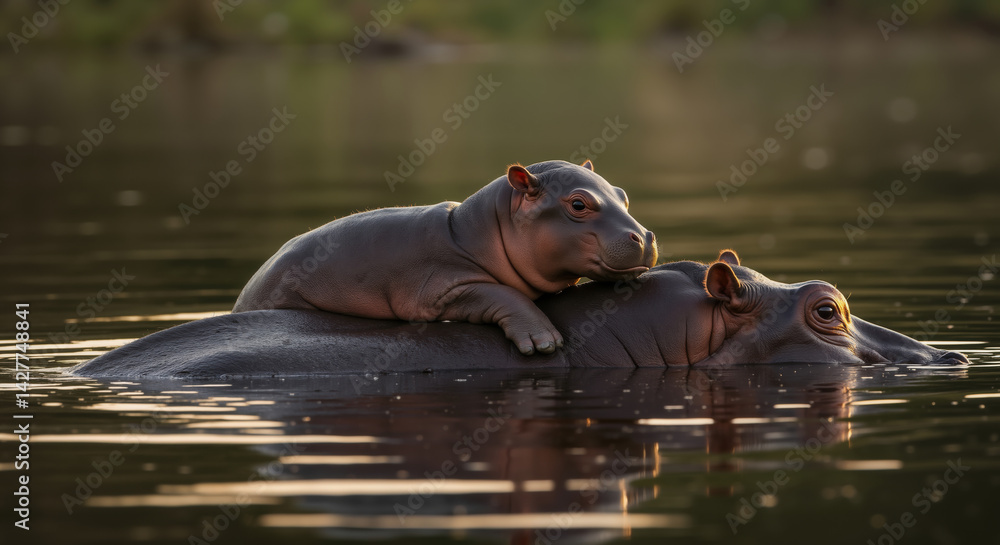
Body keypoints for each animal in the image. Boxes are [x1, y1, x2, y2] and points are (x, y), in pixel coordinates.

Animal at [232, 159, 657, 355]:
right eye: (578, 204)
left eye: (621, 194)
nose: (645, 236)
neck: (472, 231)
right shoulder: (441, 288)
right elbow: (504, 294)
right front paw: (544, 342)